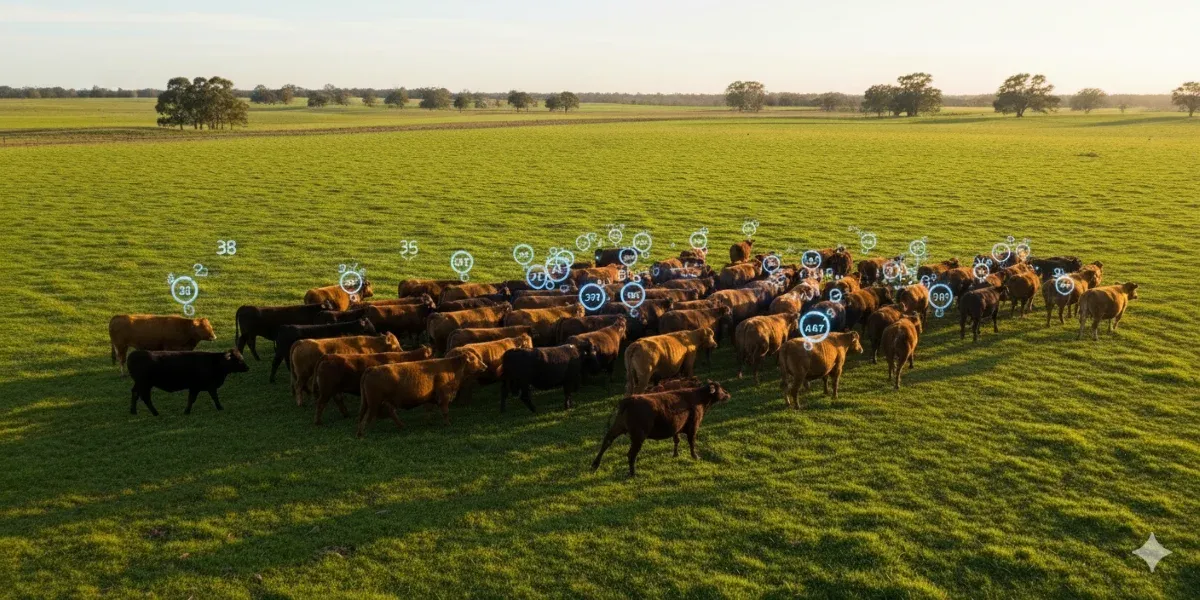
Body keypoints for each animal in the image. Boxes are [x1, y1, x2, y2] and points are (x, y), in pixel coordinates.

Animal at [356, 352, 488, 437]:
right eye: (474, 359)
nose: (485, 366)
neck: (452, 368)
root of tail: (372, 369)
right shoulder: (444, 396)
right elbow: (445, 411)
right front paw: (448, 424)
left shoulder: (431, 398)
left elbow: (428, 410)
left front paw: (427, 423)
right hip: (374, 403)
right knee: (368, 417)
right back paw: (363, 433)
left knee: (387, 414)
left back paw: (401, 426)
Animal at [591, 381, 730, 477]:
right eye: (720, 389)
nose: (728, 394)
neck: (699, 397)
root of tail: (629, 399)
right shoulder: (693, 427)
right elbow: (691, 442)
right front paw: (695, 456)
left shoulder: (676, 428)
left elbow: (676, 440)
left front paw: (675, 455)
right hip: (638, 436)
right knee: (631, 453)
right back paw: (633, 473)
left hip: (618, 427)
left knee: (607, 441)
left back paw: (595, 465)